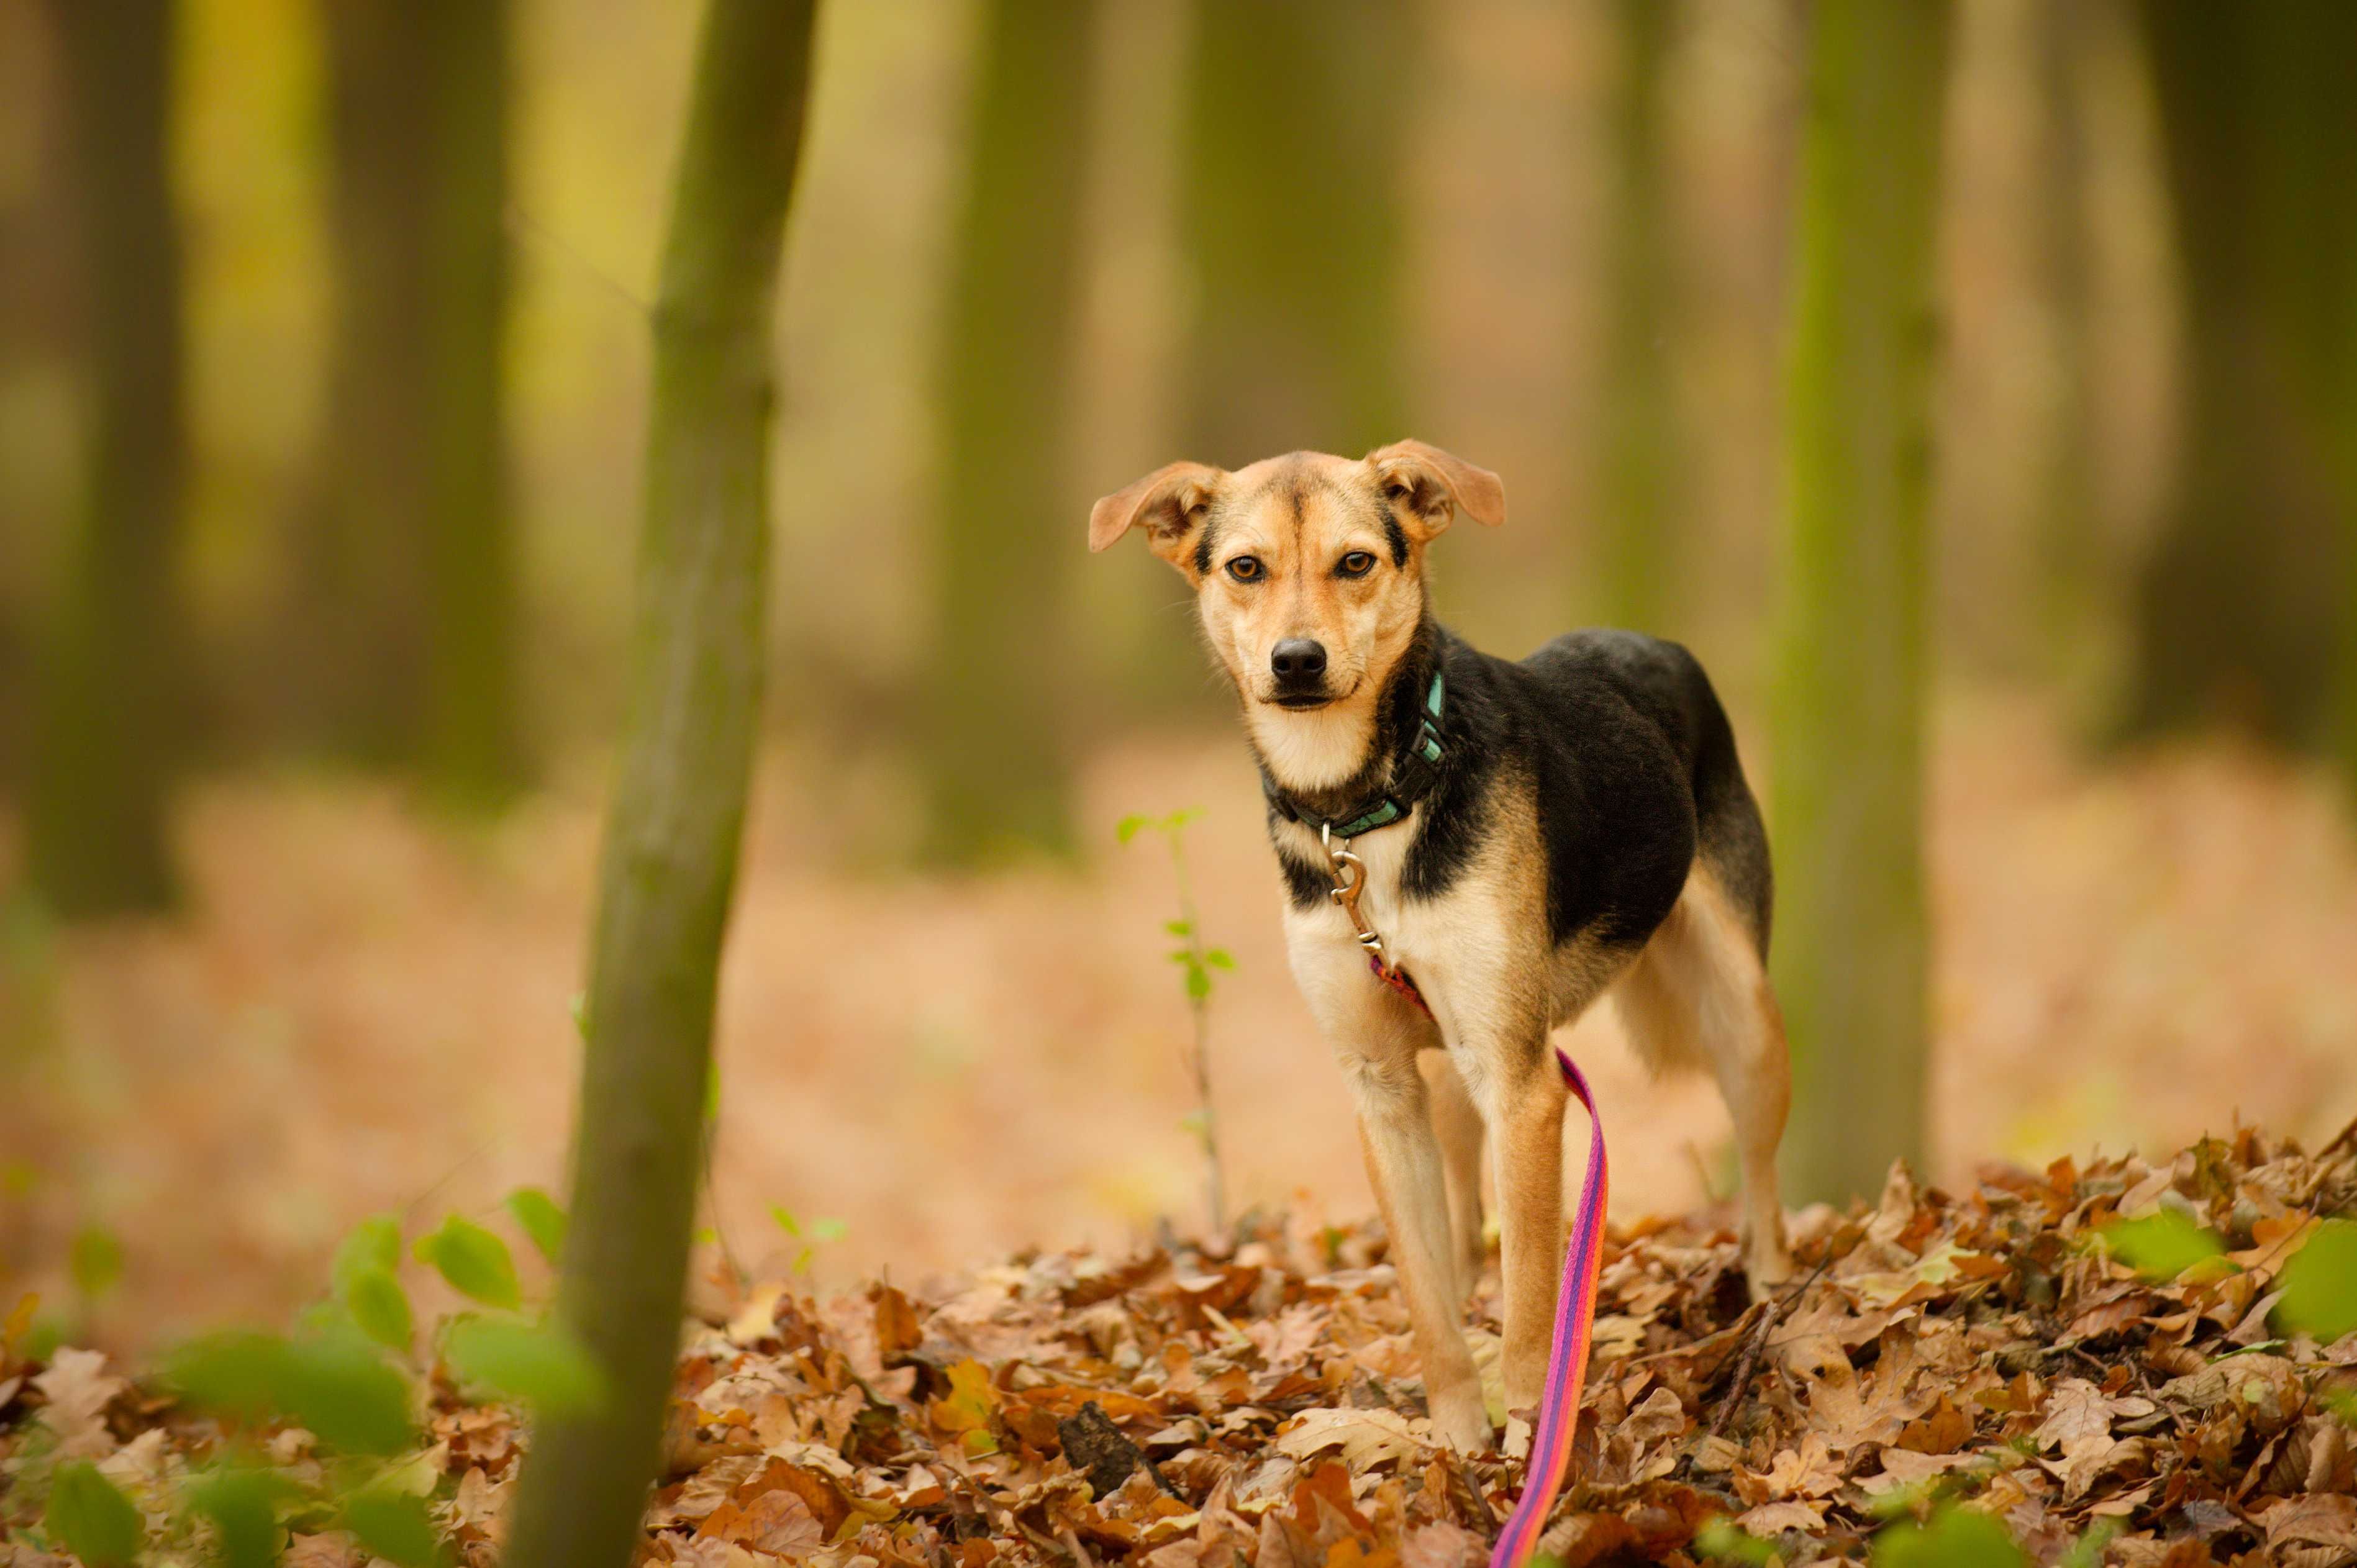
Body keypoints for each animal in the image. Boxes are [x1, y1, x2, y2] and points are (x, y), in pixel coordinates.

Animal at [1093, 441, 1791, 1452]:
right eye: (1245, 568)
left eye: (1354, 562)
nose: (1296, 661)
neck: (1366, 806)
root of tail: (1651, 641)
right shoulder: (1381, 1090)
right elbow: (1426, 1298)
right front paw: (1459, 1434)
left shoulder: (1524, 1087)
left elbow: (1537, 1296)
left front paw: (1530, 1442)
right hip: (1452, 1076)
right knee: (1461, 1226)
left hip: (1740, 1013)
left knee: (1764, 1181)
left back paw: (1773, 1291)